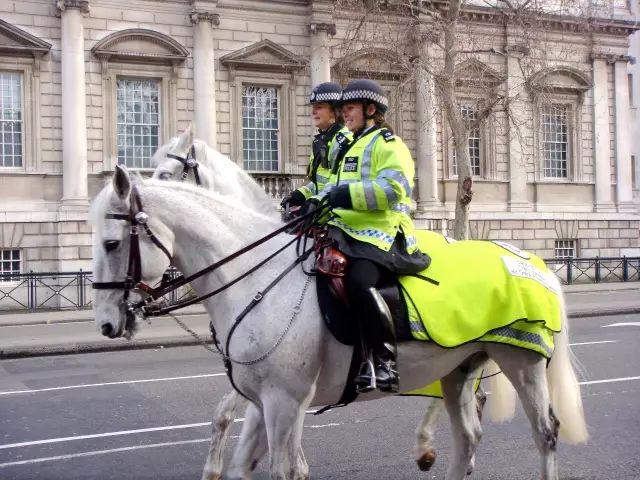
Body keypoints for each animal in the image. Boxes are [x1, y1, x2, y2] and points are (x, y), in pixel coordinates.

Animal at [90, 167, 592, 478]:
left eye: (112, 243)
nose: (107, 324)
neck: (256, 276)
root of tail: (529, 258)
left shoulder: (285, 401)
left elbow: (286, 469)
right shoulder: (262, 401)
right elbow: (240, 462)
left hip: (523, 362)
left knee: (546, 433)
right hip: (457, 370)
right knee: (468, 436)